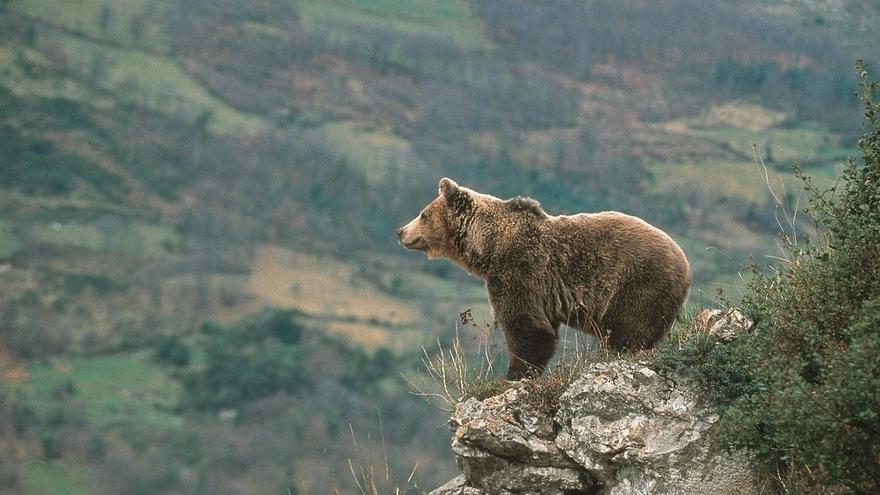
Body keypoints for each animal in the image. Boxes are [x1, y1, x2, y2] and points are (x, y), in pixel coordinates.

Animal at [396, 178, 692, 380]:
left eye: (422, 214)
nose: (400, 231)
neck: (489, 246)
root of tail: (686, 265)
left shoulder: (521, 270)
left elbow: (526, 324)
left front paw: (512, 375)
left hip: (638, 282)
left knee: (630, 329)